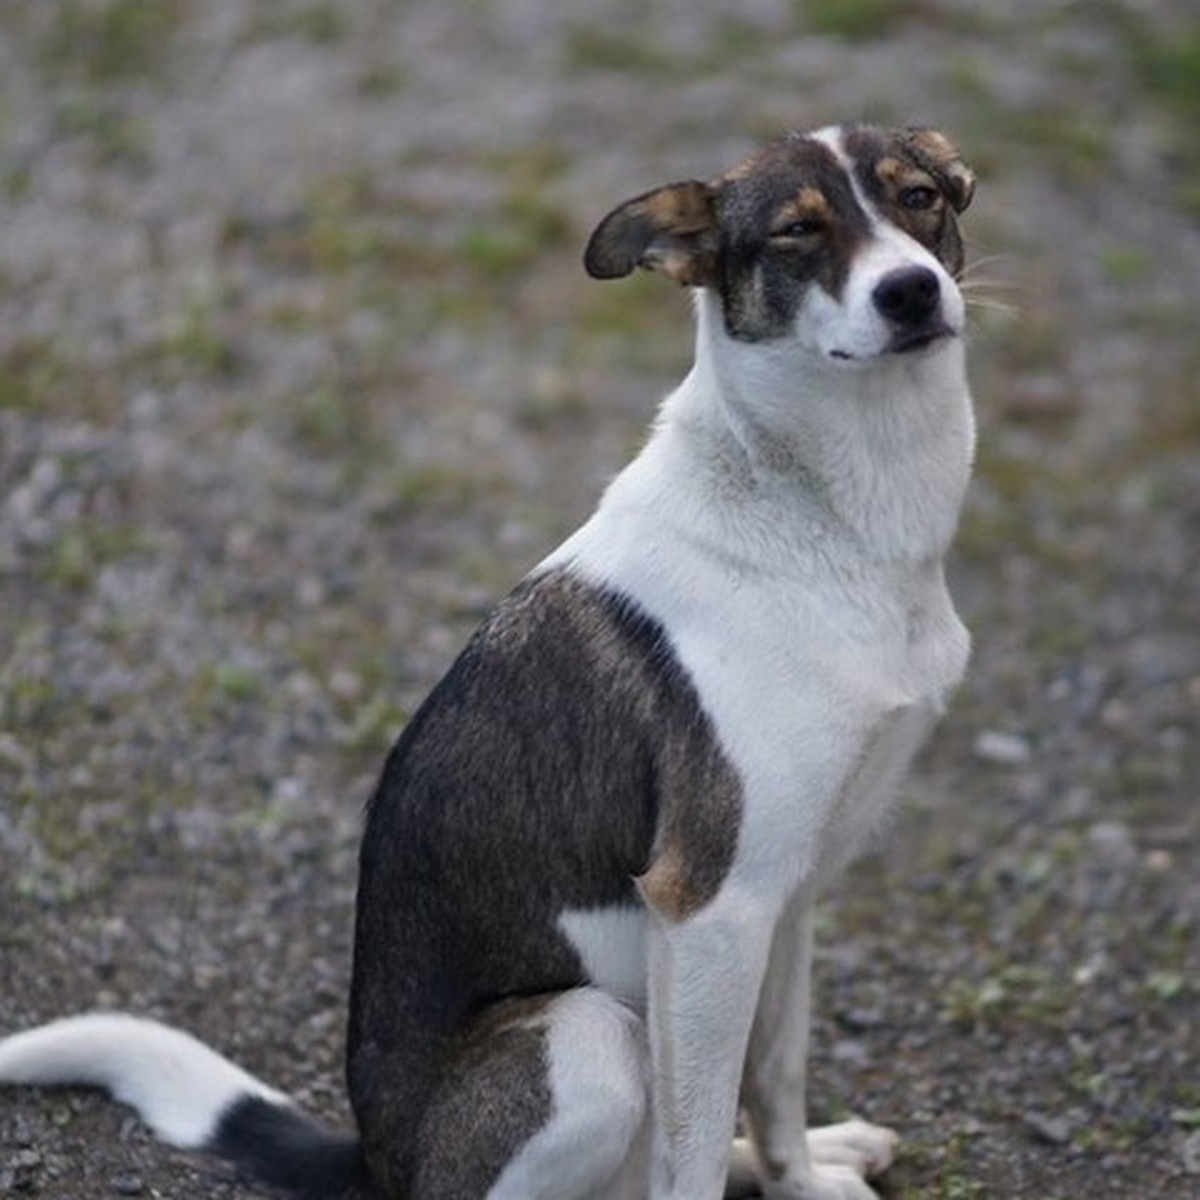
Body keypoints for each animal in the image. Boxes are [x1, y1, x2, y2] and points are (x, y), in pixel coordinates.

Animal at [0, 124, 974, 1200]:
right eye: (799, 231)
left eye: (921, 198)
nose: (912, 291)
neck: (813, 507)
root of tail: (380, 1164)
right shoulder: (711, 908)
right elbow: (692, 1144)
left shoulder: (785, 895)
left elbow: (777, 1074)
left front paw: (797, 1171)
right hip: (588, 1039)